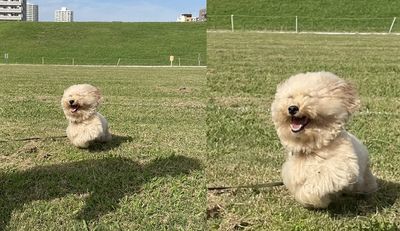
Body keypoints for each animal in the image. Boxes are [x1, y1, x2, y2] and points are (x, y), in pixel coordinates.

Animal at [270, 72, 376, 209]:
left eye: (309, 96)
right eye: (290, 97)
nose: (292, 108)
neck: (312, 146)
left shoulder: (340, 166)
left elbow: (320, 179)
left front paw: (314, 195)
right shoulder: (294, 171)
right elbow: (300, 187)